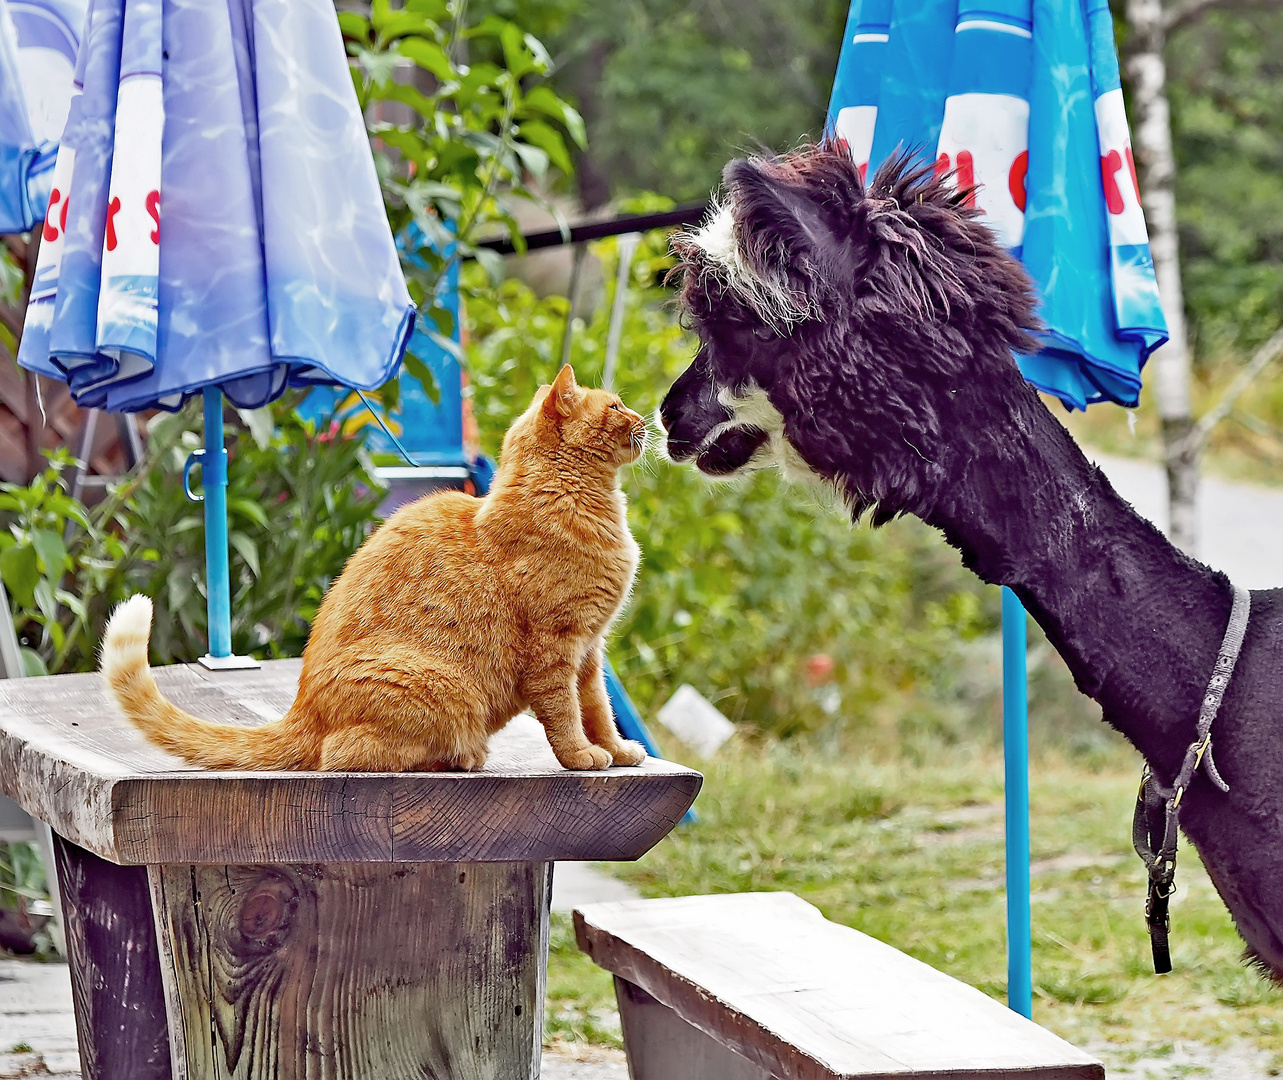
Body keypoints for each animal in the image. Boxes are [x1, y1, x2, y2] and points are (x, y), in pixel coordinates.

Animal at [97, 366, 651, 769]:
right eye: (616, 407)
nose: (646, 418)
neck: (575, 501)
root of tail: (301, 710)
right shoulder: (555, 649)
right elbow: (565, 715)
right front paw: (582, 757)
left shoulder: (590, 650)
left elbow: (597, 709)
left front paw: (617, 751)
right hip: (439, 690)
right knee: (341, 755)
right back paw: (462, 757)